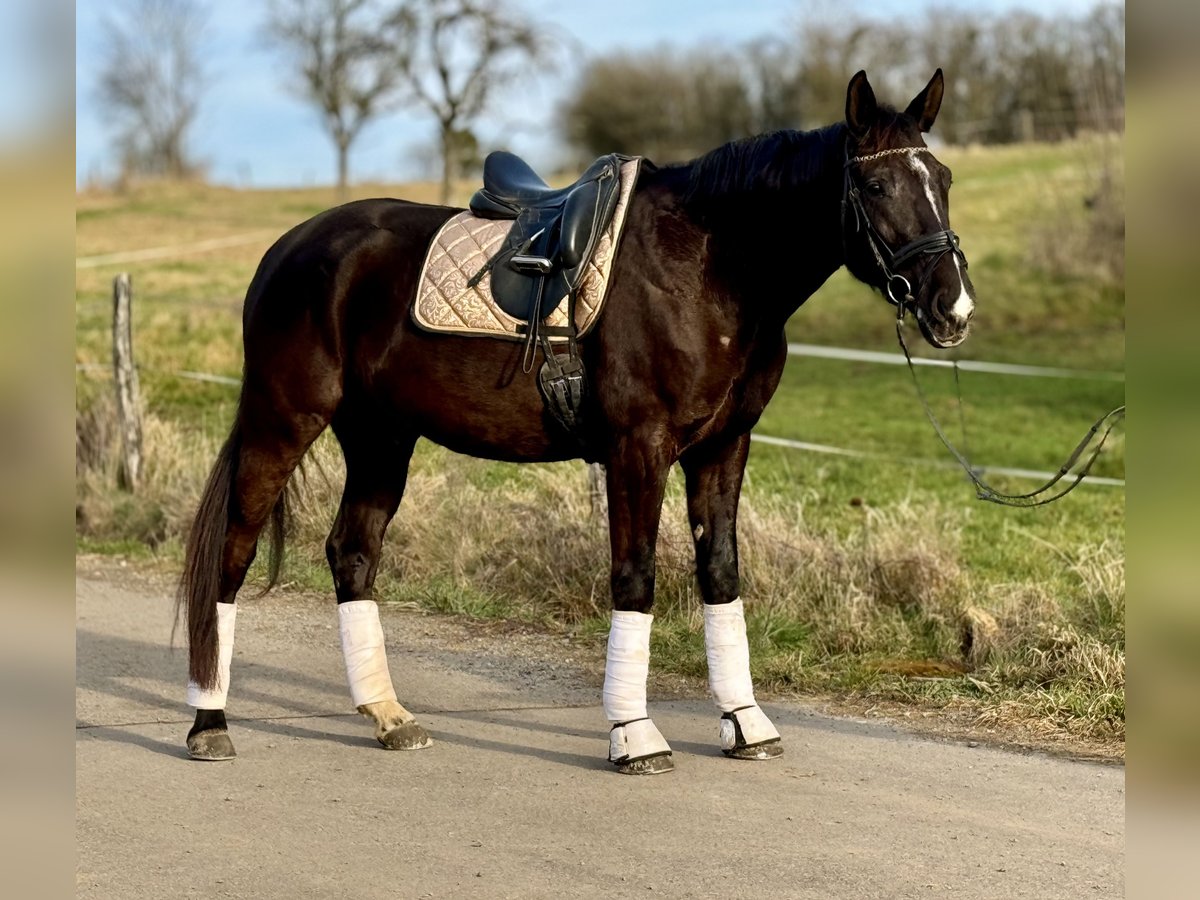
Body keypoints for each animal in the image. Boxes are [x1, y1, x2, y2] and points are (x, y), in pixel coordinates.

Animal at [177, 68, 974, 777]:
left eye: (943, 180)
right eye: (876, 186)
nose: (953, 308)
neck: (708, 266)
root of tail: (290, 248)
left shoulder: (723, 446)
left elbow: (720, 573)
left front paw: (745, 723)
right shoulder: (638, 447)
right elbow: (635, 577)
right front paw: (633, 735)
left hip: (381, 439)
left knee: (352, 554)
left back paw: (388, 716)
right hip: (284, 418)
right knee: (233, 552)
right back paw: (210, 722)